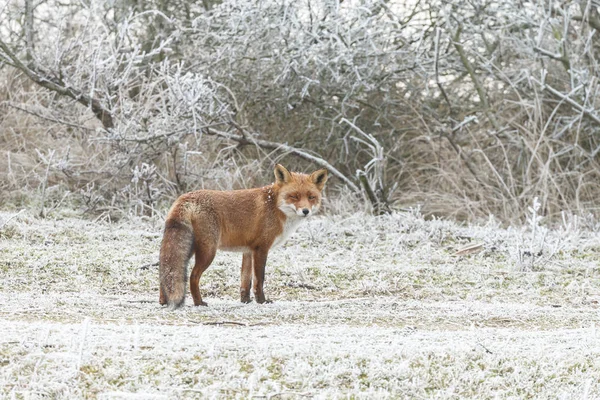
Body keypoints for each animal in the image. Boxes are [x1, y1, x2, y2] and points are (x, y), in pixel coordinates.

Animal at [158, 164, 328, 308]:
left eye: (311, 197)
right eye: (294, 196)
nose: (305, 211)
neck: (274, 206)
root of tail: (186, 197)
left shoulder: (248, 251)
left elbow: (246, 280)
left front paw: (245, 301)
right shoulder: (261, 248)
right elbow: (259, 279)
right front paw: (262, 301)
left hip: (190, 248)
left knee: (165, 271)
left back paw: (164, 301)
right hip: (207, 251)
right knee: (193, 276)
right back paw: (198, 302)